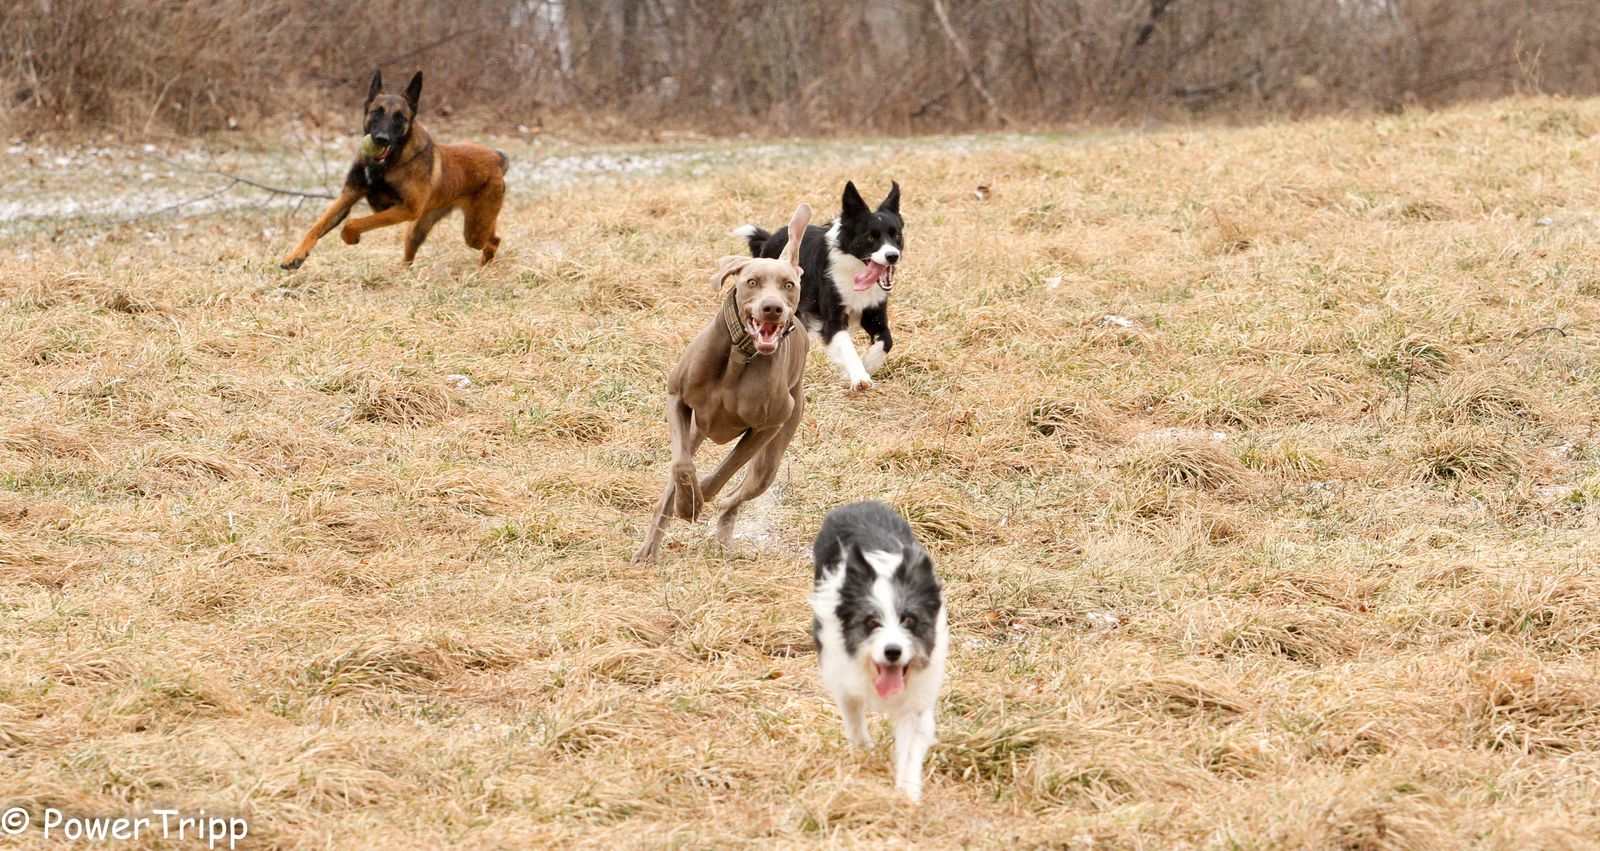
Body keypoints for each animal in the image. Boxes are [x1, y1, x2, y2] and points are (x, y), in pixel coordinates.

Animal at [280, 70, 509, 270]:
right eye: (376, 113)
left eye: (399, 117)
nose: (381, 139)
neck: (385, 165)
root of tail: (495, 157)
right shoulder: (348, 197)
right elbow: (316, 227)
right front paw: (295, 255)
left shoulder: (405, 209)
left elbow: (355, 222)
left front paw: (350, 237)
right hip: (419, 228)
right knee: (411, 254)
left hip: (474, 231)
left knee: (494, 240)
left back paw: (485, 267)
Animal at [631, 204, 813, 564]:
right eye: (752, 282)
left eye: (788, 285)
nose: (772, 308)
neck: (739, 357)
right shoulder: (677, 398)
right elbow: (681, 465)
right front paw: (688, 502)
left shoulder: (768, 426)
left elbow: (724, 472)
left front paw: (697, 499)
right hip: (695, 430)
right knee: (676, 481)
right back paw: (650, 547)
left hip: (770, 461)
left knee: (734, 496)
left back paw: (720, 530)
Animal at [737, 181, 903, 392]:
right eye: (870, 237)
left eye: (896, 235)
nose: (892, 256)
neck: (855, 270)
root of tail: (769, 239)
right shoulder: (832, 320)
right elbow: (847, 347)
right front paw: (858, 376)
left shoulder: (874, 312)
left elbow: (886, 342)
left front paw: (861, 368)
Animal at [810, 500, 946, 802]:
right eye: (872, 622)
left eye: (909, 620)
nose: (893, 651)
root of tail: (859, 504)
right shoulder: (844, 679)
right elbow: (853, 718)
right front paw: (862, 751)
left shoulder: (916, 703)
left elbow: (911, 749)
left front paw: (907, 796)